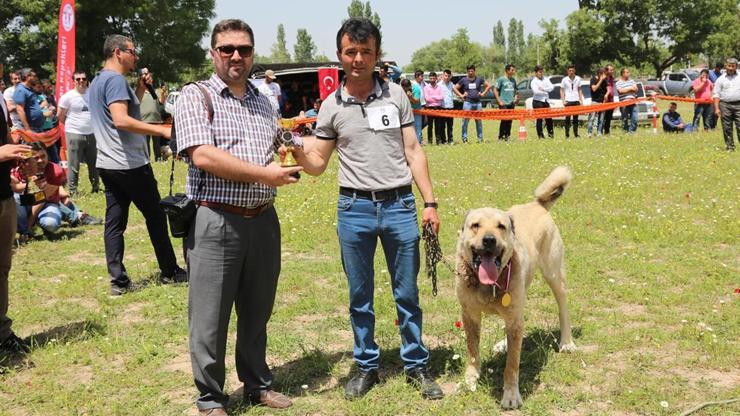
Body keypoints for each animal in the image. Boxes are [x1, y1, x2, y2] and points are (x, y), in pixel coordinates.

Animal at [450, 166, 580, 410]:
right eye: (475, 225)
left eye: (501, 226)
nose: (489, 240)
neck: (488, 285)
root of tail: (537, 205)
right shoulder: (470, 315)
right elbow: (472, 351)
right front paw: (470, 380)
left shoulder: (513, 317)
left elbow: (512, 364)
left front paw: (511, 395)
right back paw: (503, 343)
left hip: (554, 275)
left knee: (563, 309)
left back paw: (566, 342)